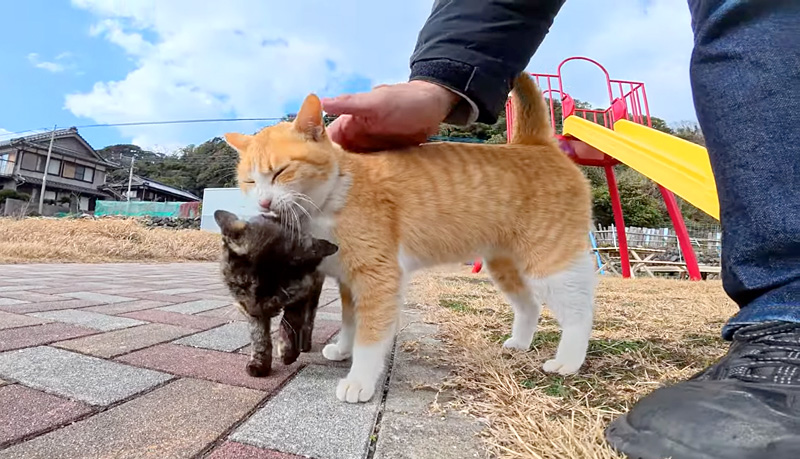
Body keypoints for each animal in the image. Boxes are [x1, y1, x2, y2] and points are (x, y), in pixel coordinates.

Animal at [212, 210, 338, 376]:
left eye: (278, 296)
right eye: (243, 284)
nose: (254, 312)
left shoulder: (303, 291)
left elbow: (292, 320)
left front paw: (288, 352)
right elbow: (259, 334)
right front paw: (259, 363)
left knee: (309, 318)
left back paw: (304, 344)